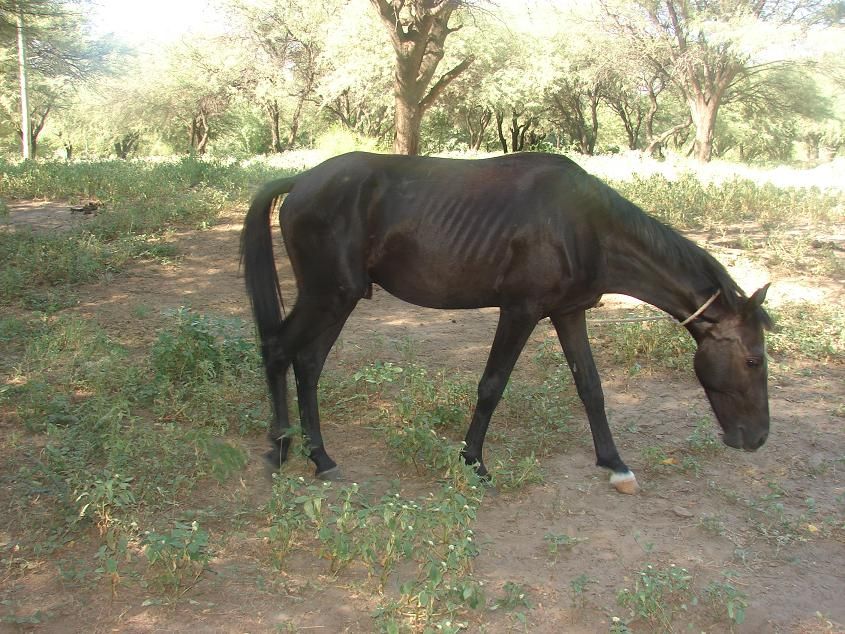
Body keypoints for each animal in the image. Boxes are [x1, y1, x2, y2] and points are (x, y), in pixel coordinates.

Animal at [241, 151, 773, 494]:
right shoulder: (520, 311)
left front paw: (614, 463)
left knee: (308, 362)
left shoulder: (568, 312)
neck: (585, 226)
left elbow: (591, 388)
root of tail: (302, 181)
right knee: (279, 350)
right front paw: (474, 462)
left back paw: (320, 458)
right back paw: (281, 451)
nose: (757, 439)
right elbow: (491, 385)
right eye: (753, 360)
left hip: (339, 299)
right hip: (329, 295)